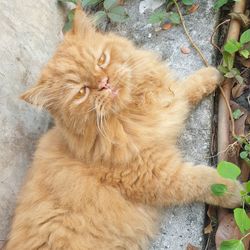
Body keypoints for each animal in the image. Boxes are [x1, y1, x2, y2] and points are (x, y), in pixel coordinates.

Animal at [4, 5, 242, 250]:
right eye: (81, 92)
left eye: (101, 60)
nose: (104, 83)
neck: (131, 114)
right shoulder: (155, 174)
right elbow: (202, 181)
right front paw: (236, 191)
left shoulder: (167, 106)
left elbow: (182, 90)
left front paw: (211, 75)